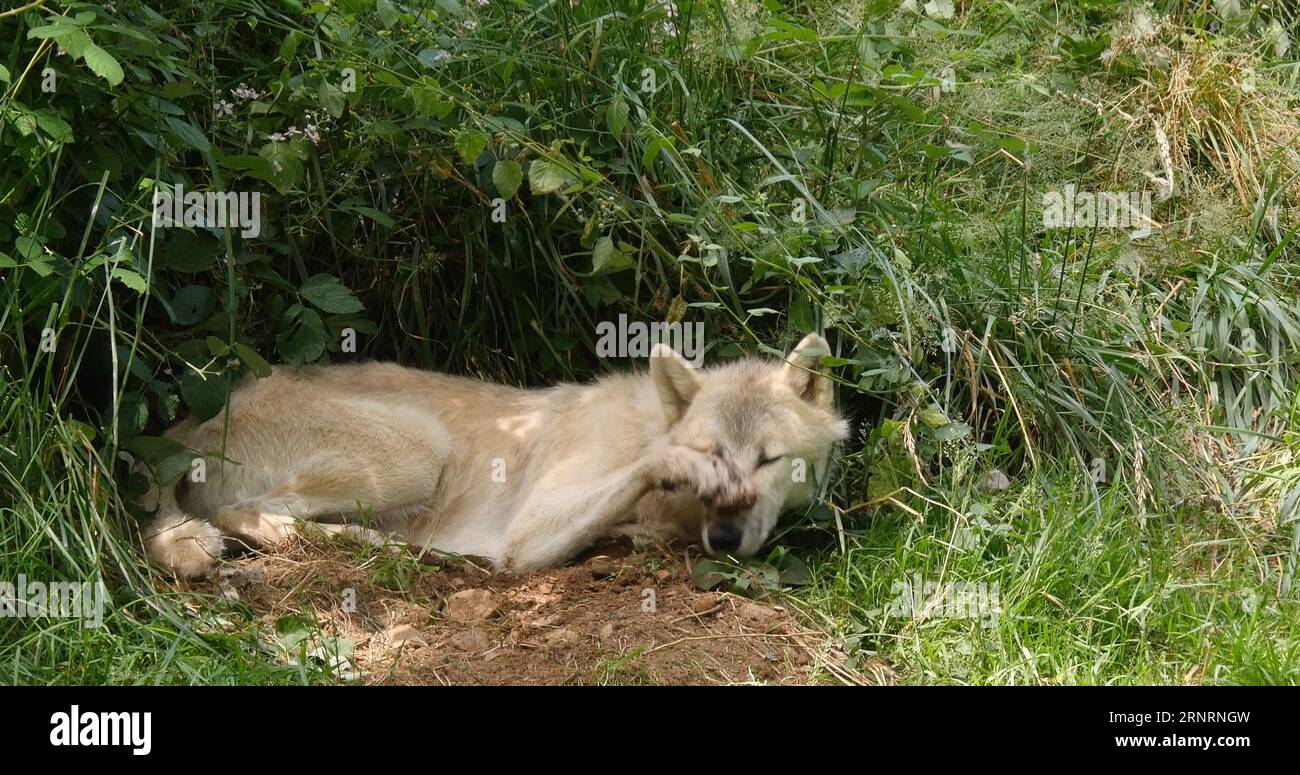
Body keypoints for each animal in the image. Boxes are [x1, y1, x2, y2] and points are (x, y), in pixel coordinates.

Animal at [144, 330, 852, 577]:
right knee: (248, 515)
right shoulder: (530, 532)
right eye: (715, 454)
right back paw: (389, 548)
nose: (726, 539)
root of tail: (186, 426)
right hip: (418, 451)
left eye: (768, 460)